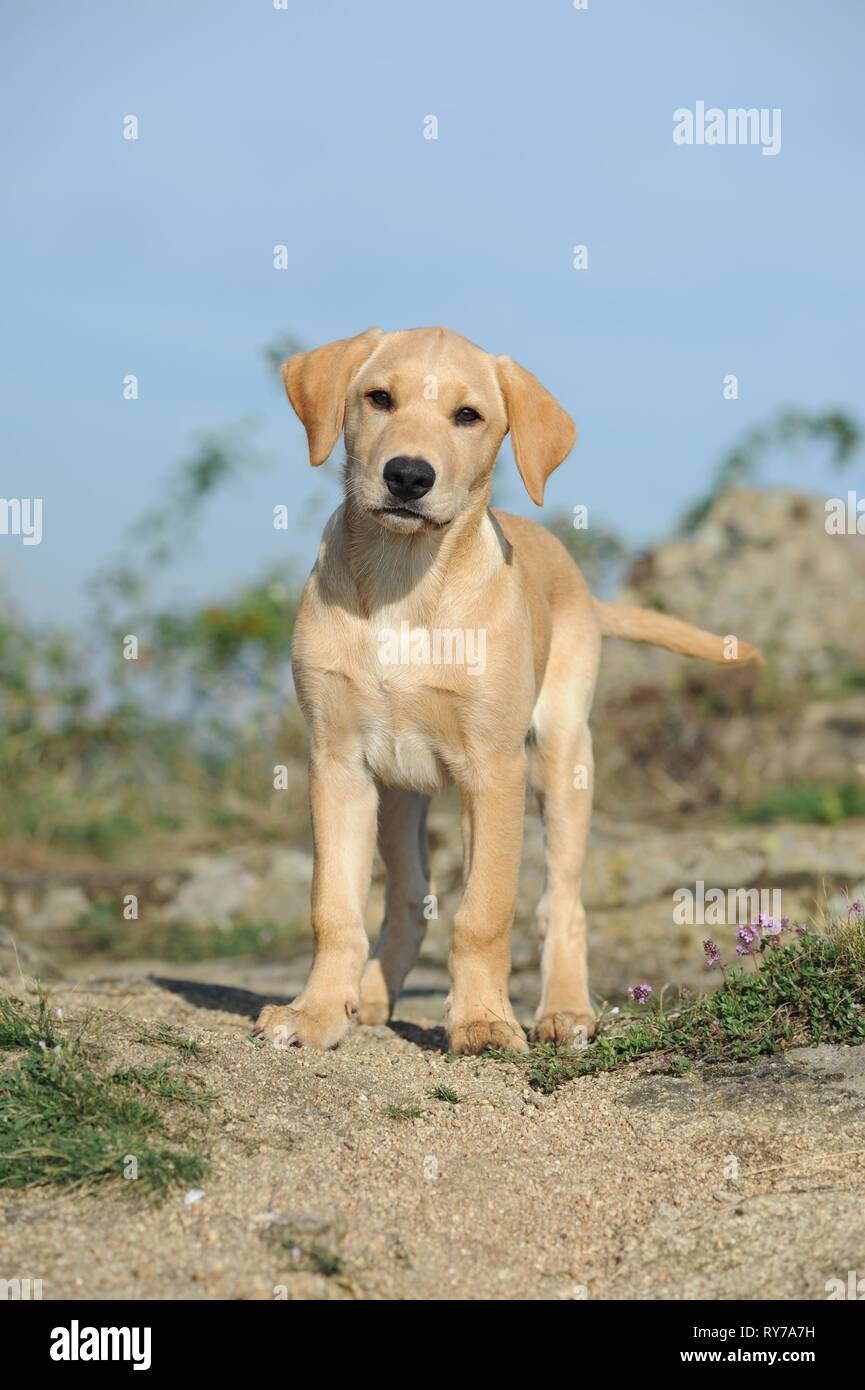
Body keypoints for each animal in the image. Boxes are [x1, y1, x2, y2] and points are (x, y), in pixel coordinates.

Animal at [253, 330, 756, 1056]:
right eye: (378, 399)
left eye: (468, 416)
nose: (409, 476)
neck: (405, 580)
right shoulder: (337, 762)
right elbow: (334, 909)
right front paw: (316, 1011)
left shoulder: (493, 769)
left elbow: (484, 912)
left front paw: (483, 1020)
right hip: (399, 794)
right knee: (408, 899)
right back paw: (370, 996)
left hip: (563, 760)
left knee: (562, 901)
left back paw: (565, 1011)